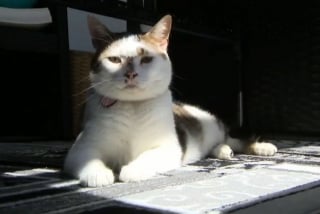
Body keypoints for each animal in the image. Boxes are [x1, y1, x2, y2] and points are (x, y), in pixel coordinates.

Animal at [63, 14, 278, 186]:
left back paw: (262, 147)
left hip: (213, 126)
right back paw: (221, 151)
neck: (133, 107)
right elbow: (88, 159)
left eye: (146, 59)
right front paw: (98, 175)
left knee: (235, 141)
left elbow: (147, 156)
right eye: (115, 60)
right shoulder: (82, 147)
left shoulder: (169, 147)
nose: (130, 74)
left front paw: (132, 170)